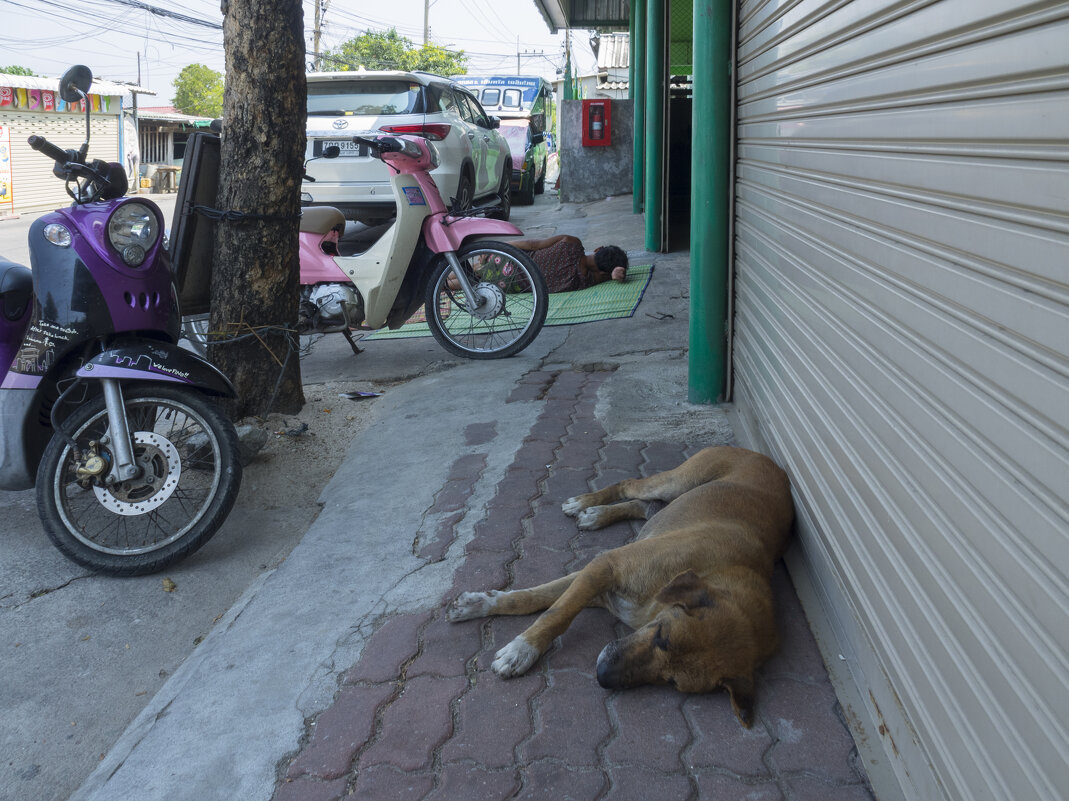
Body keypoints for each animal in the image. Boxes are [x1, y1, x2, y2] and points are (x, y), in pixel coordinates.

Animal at [444, 442, 795, 722]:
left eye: (672, 682)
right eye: (661, 636)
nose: (602, 676)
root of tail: (771, 462)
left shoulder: (599, 584)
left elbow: (541, 599)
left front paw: (485, 611)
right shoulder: (605, 567)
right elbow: (553, 611)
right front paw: (520, 646)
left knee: (646, 506)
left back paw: (597, 514)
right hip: (678, 480)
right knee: (632, 486)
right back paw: (586, 503)